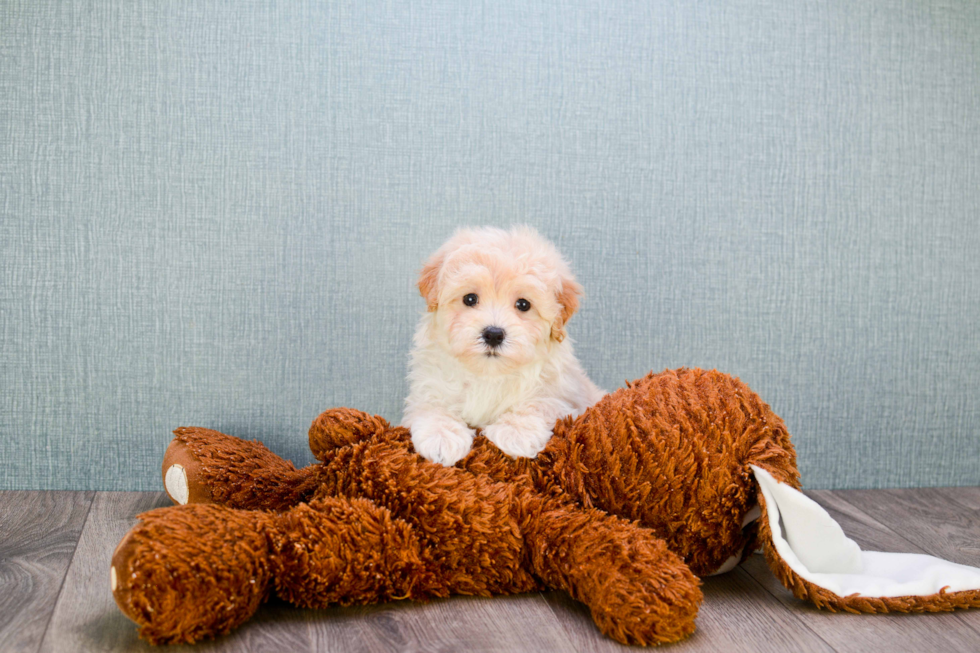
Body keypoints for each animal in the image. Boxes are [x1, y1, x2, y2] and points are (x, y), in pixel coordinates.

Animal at [400, 227, 604, 466]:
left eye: (523, 304)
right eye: (470, 299)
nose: (493, 334)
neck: (488, 375)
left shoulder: (563, 395)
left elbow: (540, 403)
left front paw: (516, 432)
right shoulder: (429, 385)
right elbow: (431, 405)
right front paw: (441, 436)